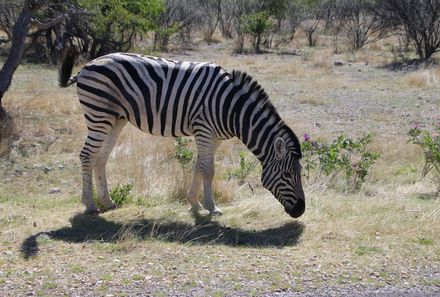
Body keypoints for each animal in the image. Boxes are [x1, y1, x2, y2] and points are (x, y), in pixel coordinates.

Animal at [58, 46, 306, 217]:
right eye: (287, 175)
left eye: (299, 174)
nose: (301, 210)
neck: (232, 109)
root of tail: (88, 65)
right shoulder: (204, 130)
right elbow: (208, 170)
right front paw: (211, 207)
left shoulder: (213, 137)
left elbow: (200, 166)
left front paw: (194, 203)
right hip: (98, 114)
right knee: (87, 155)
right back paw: (90, 204)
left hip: (114, 119)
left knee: (100, 157)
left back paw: (107, 202)